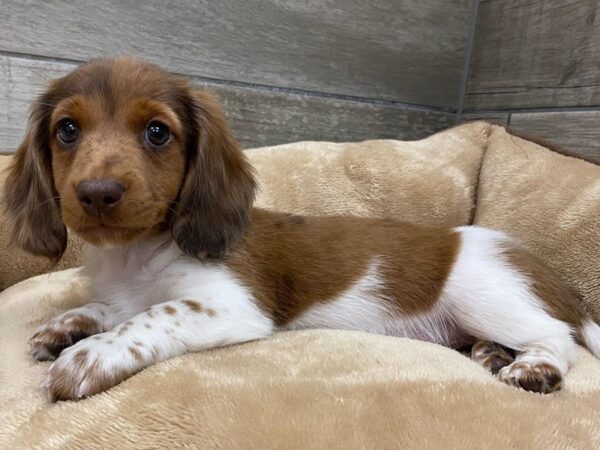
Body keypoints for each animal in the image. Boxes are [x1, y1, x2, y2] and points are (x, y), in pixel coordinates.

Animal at [4, 57, 600, 400]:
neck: (138, 252)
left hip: (485, 295)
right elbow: (112, 308)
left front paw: (90, 356)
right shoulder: (125, 292)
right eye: (67, 130)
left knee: (559, 339)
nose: (97, 193)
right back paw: (493, 354)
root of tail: (558, 283)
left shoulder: (230, 305)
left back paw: (534, 369)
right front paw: (70, 325)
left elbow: (151, 316)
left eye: (157, 132)